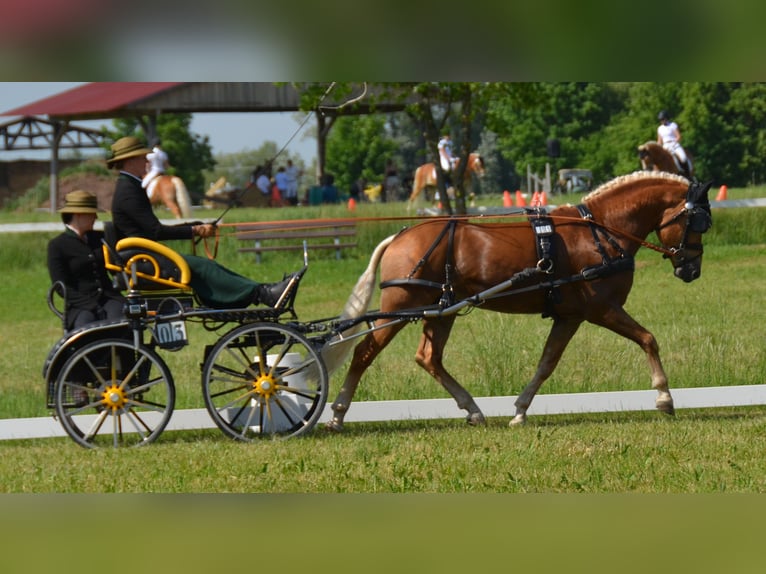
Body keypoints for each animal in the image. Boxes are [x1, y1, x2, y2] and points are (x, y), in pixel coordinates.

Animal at [328, 173, 716, 434]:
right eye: (699, 221)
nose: (692, 269)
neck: (600, 232)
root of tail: (399, 236)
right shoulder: (602, 310)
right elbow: (648, 339)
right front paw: (664, 397)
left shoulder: (569, 316)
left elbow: (547, 363)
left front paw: (520, 410)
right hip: (400, 308)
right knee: (364, 353)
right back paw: (337, 413)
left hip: (440, 311)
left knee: (428, 358)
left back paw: (472, 409)